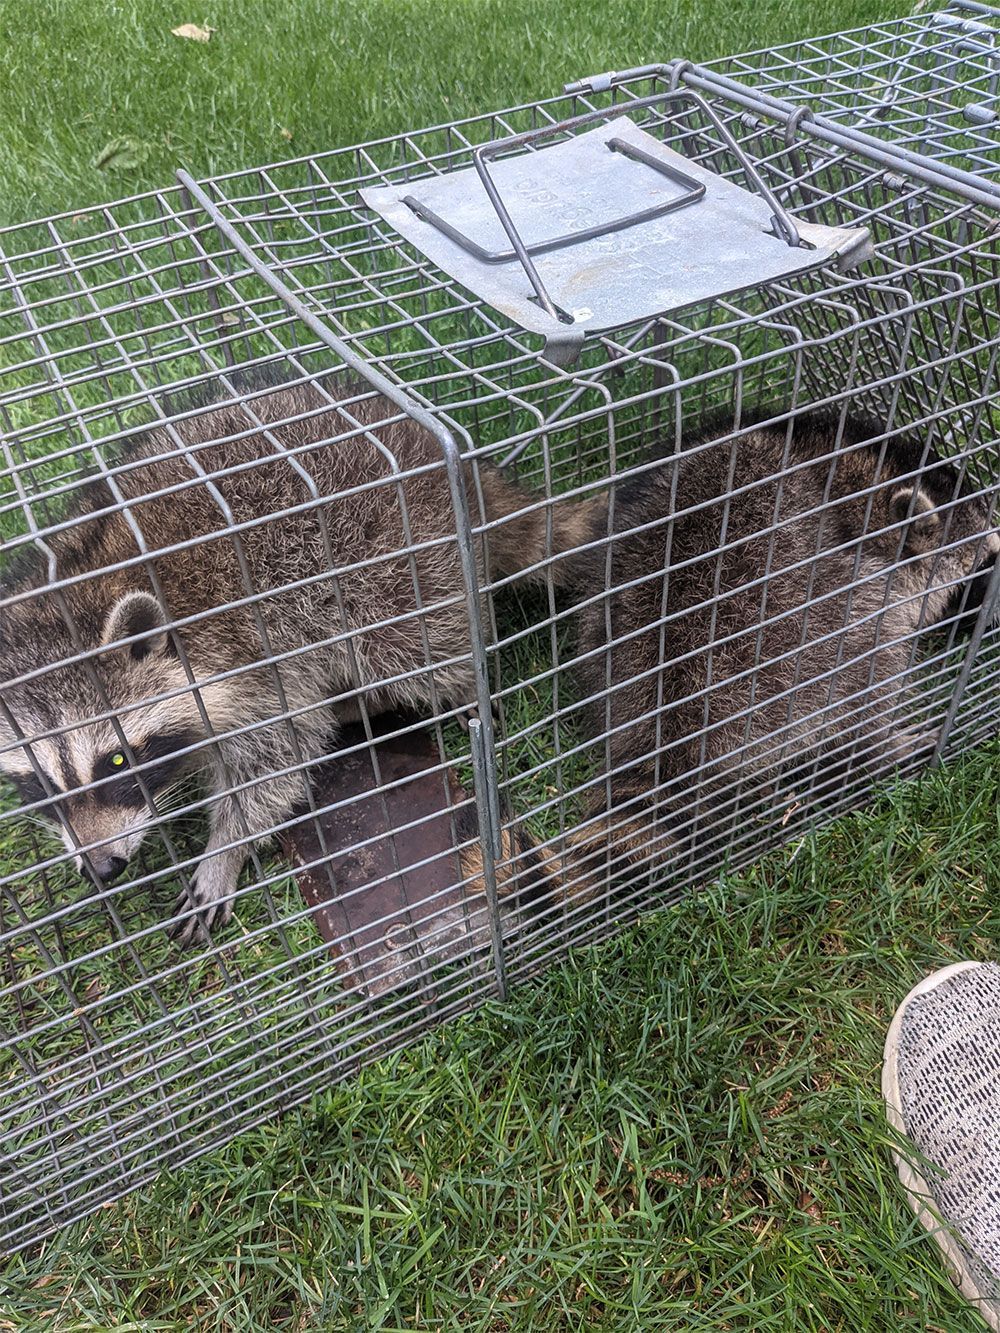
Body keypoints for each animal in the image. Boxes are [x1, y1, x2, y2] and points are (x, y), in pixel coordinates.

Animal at [0, 376, 592, 944]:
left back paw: (451, 686)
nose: (103, 868)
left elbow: (275, 757)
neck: (77, 595)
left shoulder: (250, 657)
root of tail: (453, 466)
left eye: (117, 761)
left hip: (399, 566)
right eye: (40, 785)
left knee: (417, 651)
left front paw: (225, 849)